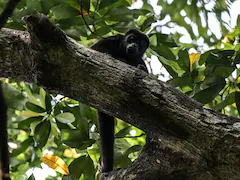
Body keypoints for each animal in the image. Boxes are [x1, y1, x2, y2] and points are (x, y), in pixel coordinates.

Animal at [91, 28, 149, 172]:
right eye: (132, 39)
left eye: (140, 44)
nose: (133, 45)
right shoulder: (112, 39)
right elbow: (95, 49)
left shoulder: (139, 59)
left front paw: (140, 69)